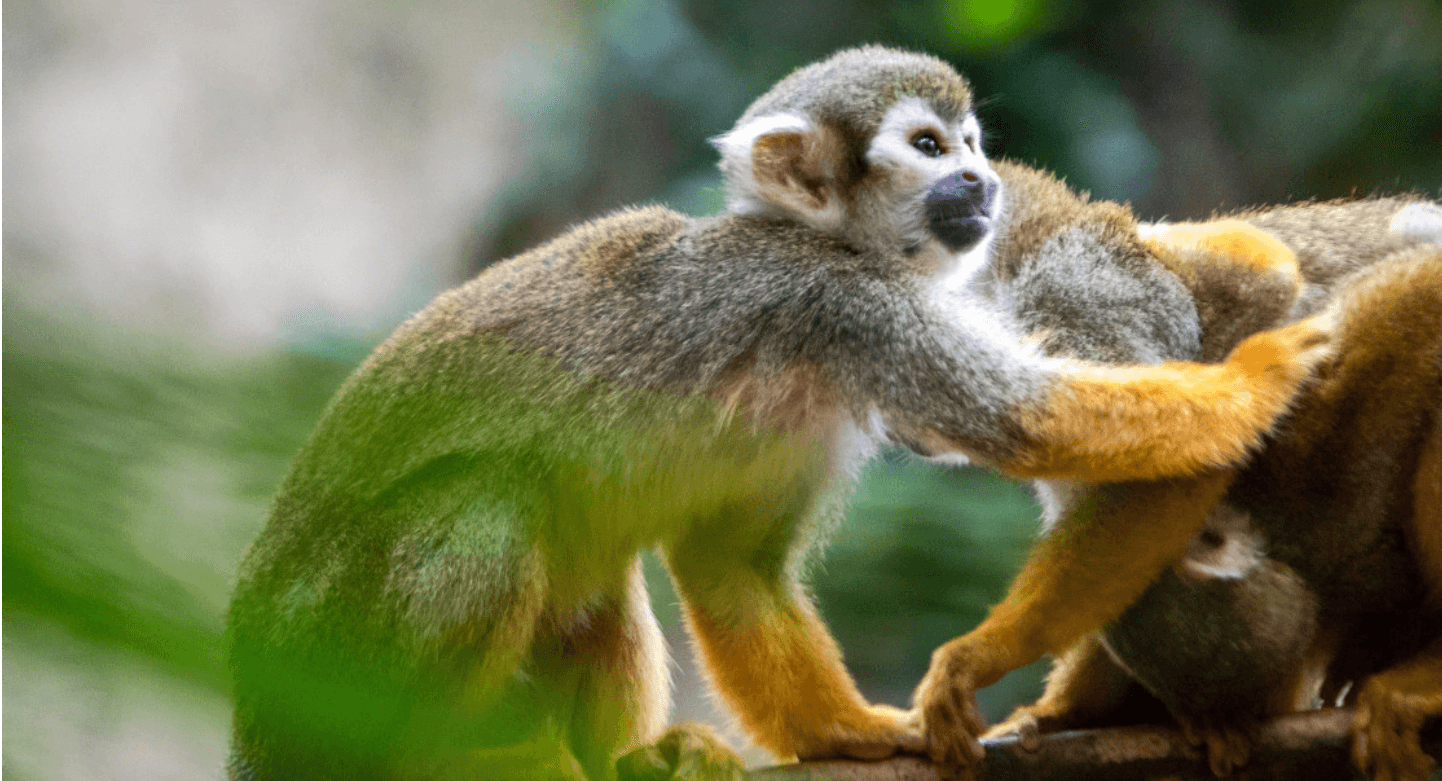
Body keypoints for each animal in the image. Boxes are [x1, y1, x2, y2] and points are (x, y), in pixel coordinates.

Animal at [227, 45, 1326, 778]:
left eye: (971, 144)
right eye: (929, 147)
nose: (979, 180)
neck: (831, 244)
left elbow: (734, 565)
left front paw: (850, 732)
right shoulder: (841, 305)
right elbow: (1025, 418)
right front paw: (1259, 374)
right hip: (325, 652)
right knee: (488, 514)